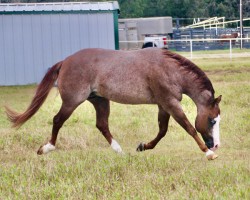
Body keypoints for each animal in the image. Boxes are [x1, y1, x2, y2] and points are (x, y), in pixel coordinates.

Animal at [4, 47, 222, 160]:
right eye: (212, 120)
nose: (216, 145)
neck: (169, 70)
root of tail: (65, 61)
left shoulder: (164, 105)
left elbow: (162, 131)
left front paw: (143, 146)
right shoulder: (170, 103)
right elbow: (188, 127)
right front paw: (208, 153)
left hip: (100, 101)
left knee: (102, 125)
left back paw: (119, 150)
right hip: (72, 101)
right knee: (57, 120)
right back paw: (47, 148)